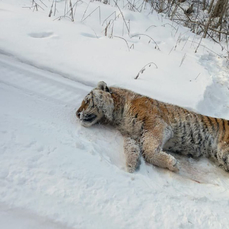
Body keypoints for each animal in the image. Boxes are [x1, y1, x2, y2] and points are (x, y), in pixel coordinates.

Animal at [76, 81, 229, 173]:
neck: (117, 117)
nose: (77, 114)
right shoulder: (131, 135)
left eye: (87, 101)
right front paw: (131, 165)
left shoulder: (156, 125)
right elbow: (130, 147)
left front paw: (172, 163)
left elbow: (149, 151)